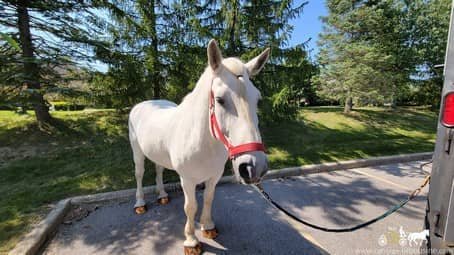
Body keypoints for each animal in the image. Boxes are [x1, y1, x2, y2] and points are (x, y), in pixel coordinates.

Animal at [127, 38, 270, 254]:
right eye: (219, 99)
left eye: (258, 99)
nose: (254, 167)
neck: (204, 142)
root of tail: (142, 104)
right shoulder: (187, 180)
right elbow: (190, 207)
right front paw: (191, 241)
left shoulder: (213, 177)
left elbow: (209, 199)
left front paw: (208, 227)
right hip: (137, 153)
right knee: (139, 174)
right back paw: (140, 204)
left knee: (159, 170)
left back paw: (162, 195)